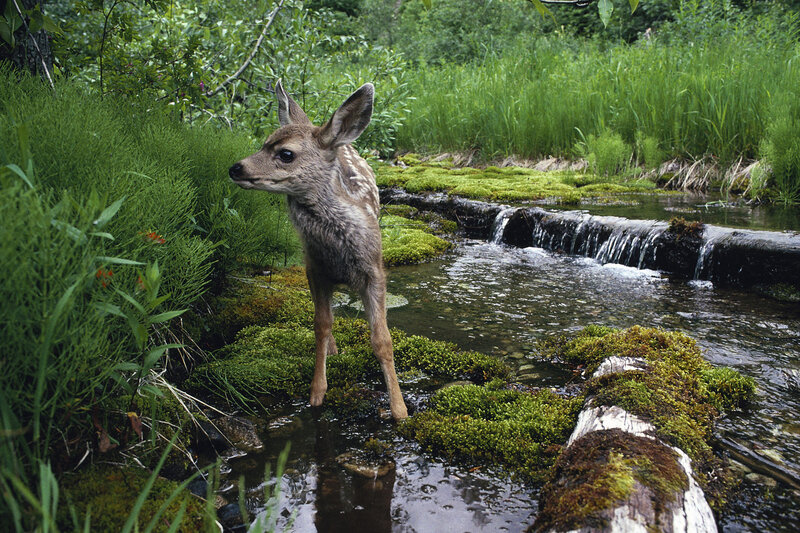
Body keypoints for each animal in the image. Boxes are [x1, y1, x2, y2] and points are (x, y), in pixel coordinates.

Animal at [228, 81, 409, 420]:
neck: (338, 249)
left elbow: (382, 340)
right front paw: (316, 392)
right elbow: (321, 325)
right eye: (264, 142)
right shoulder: (315, 268)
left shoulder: (374, 270)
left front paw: (399, 408)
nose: (235, 167)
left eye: (285, 154)